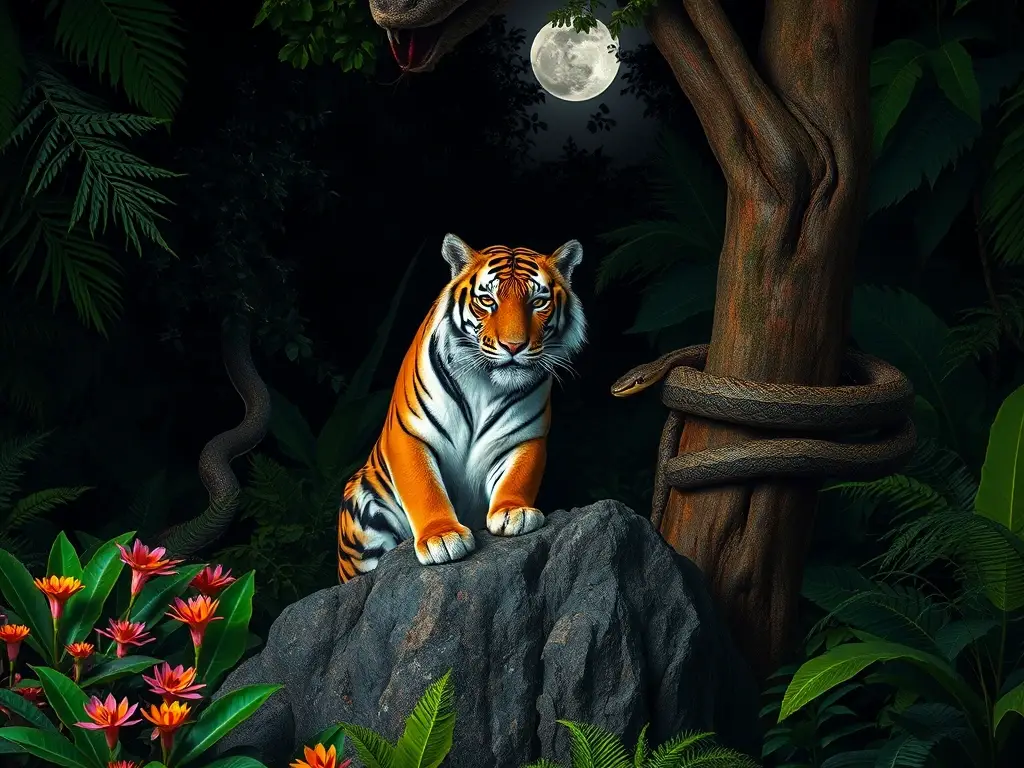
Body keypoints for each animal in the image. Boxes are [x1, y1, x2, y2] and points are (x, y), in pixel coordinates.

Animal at [336, 233, 587, 582]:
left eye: (538, 302)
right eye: (487, 300)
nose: (513, 346)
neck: (485, 382)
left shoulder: (525, 437)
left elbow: (518, 476)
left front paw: (514, 512)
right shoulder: (411, 433)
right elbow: (425, 487)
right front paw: (441, 537)